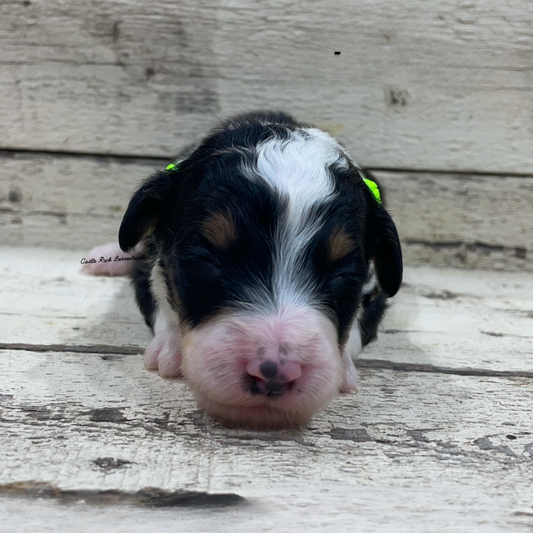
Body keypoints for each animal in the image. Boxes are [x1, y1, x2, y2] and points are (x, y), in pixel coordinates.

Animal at [84, 111, 400, 428]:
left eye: (342, 273)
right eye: (208, 259)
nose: (274, 374)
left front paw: (343, 365)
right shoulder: (151, 269)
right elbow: (159, 295)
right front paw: (172, 347)